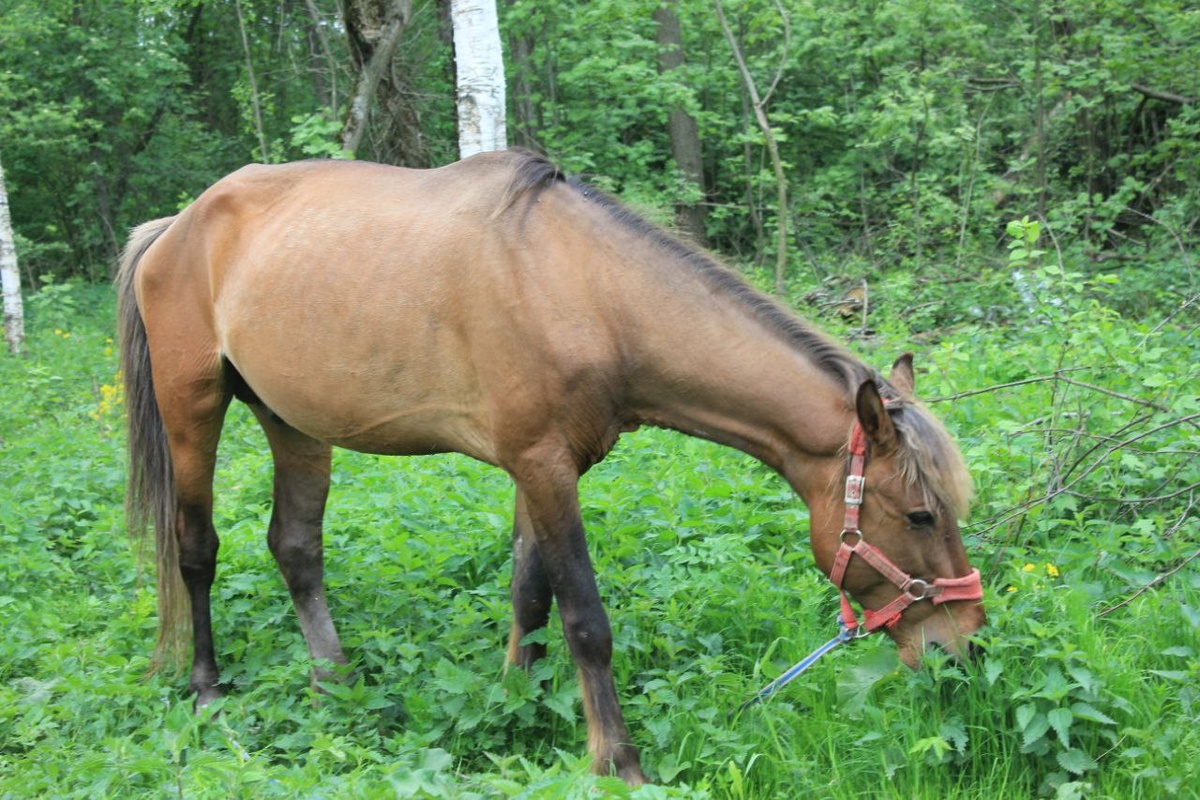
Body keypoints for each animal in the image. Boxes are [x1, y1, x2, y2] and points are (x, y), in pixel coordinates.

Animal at [117, 148, 985, 785]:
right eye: (919, 514)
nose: (965, 648)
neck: (585, 290)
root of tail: (176, 225)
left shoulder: (546, 468)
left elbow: (530, 596)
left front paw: (515, 704)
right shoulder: (541, 465)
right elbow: (585, 620)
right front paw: (618, 762)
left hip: (293, 423)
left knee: (295, 547)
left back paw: (336, 684)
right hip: (193, 408)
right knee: (197, 551)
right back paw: (206, 689)